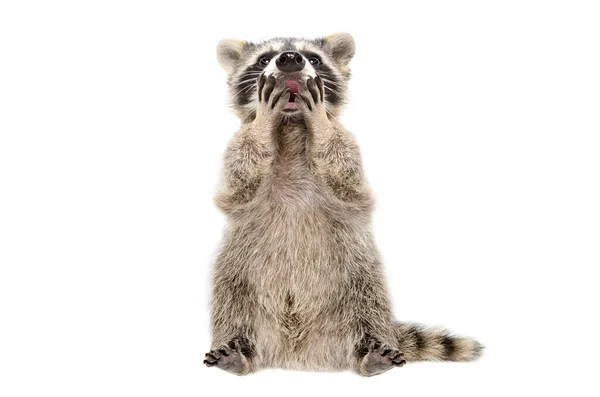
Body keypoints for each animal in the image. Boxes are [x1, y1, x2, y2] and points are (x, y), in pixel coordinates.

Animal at [204, 33, 480, 374]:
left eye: (314, 58)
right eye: (264, 58)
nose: (290, 59)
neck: (291, 126)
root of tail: (295, 354)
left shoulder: (350, 151)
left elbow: (345, 173)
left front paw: (321, 122)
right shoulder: (233, 157)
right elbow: (239, 180)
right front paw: (262, 123)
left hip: (358, 270)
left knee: (370, 300)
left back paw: (370, 351)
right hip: (236, 267)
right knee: (230, 300)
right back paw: (237, 350)